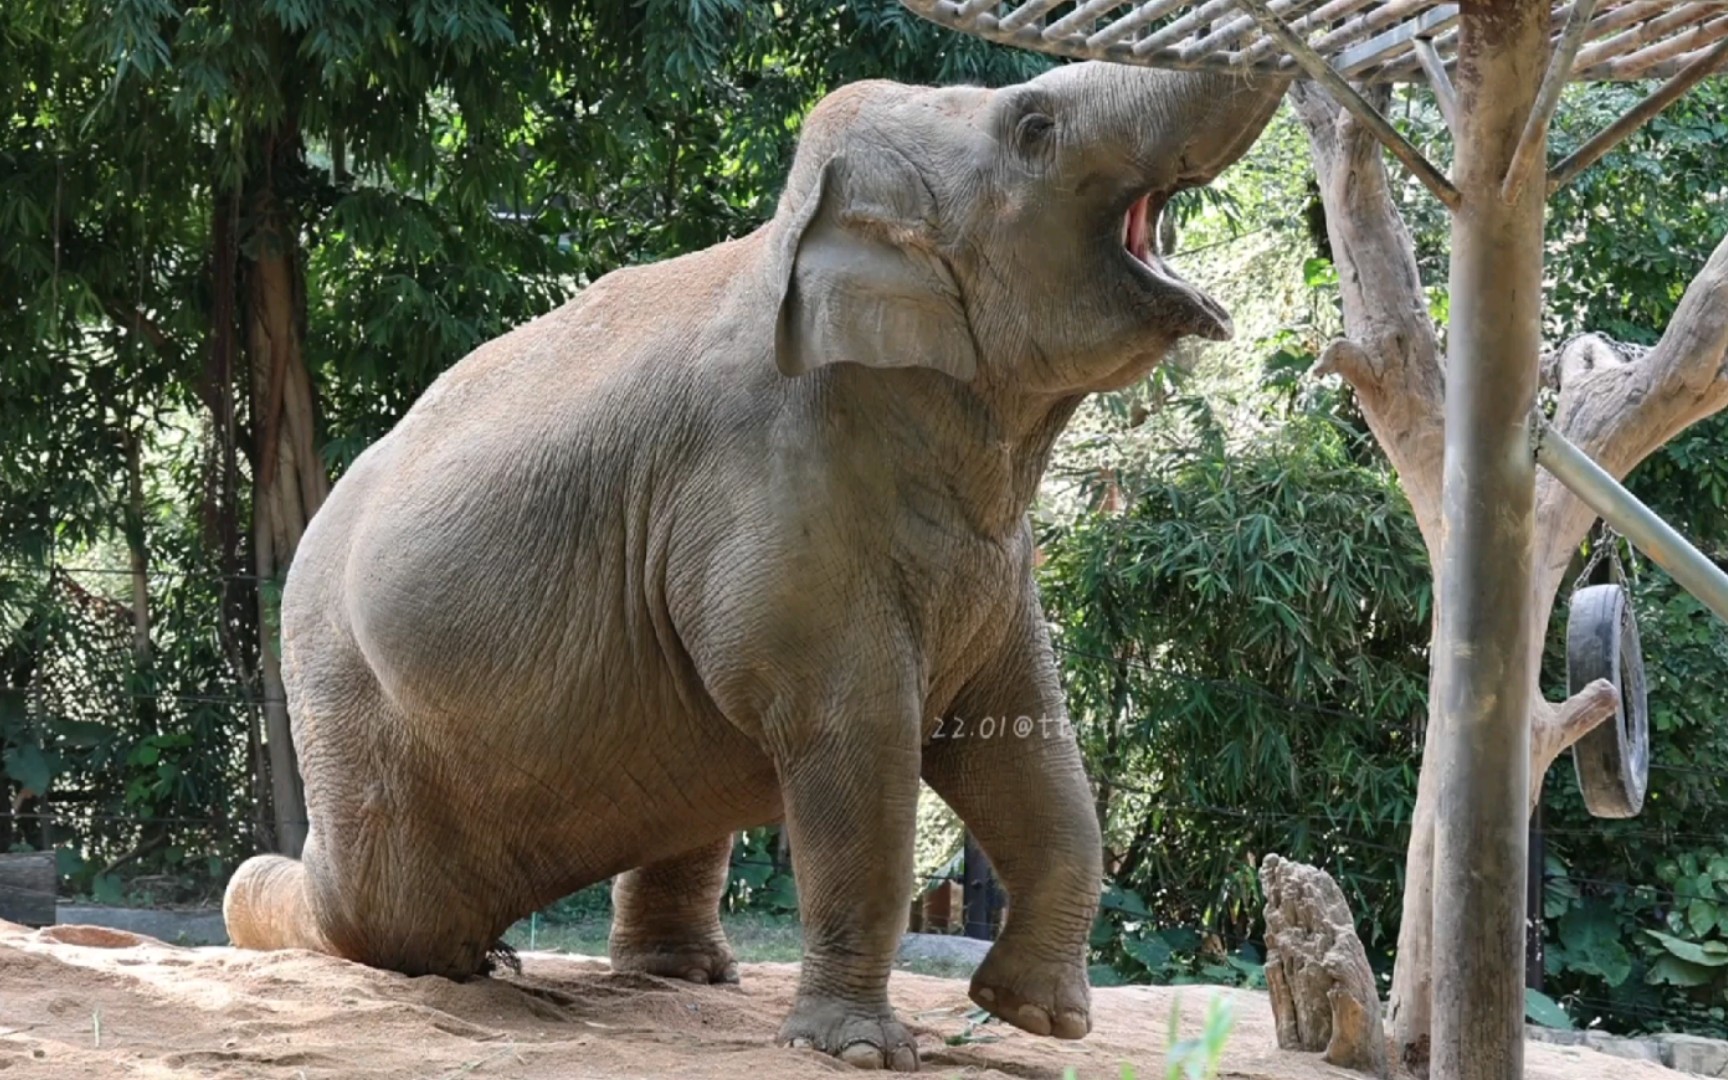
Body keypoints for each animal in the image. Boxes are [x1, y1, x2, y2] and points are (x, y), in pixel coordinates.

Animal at [222, 60, 1285, 1071]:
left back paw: (678, 975)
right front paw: (863, 1052)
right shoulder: (773, 491)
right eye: (1034, 125)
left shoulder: (986, 558)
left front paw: (1038, 1019)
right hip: (358, 724)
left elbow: (1026, 735)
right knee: (385, 916)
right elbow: (860, 738)